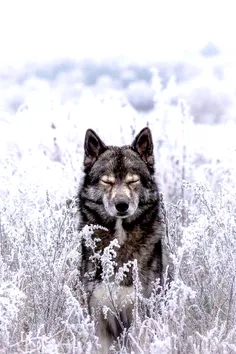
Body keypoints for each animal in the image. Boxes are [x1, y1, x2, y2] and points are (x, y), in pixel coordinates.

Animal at [77, 128, 170, 354]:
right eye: (107, 181)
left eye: (132, 181)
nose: (122, 205)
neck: (119, 242)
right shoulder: (99, 317)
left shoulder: (140, 314)